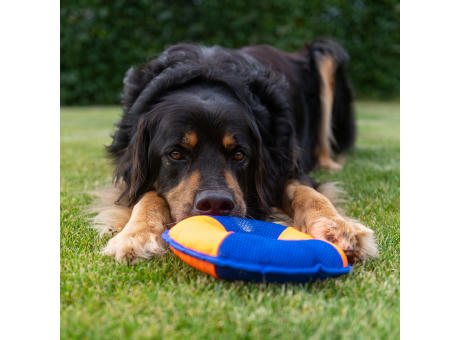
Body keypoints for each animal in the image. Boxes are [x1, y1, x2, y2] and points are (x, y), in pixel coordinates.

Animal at [93, 39, 378, 262]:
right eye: (176, 154)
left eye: (239, 154)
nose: (216, 204)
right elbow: (148, 196)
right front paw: (136, 234)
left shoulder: (282, 164)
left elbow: (308, 192)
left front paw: (337, 227)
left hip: (326, 53)